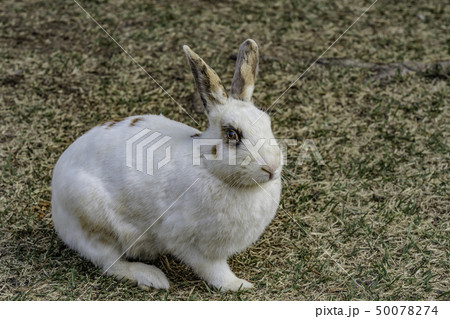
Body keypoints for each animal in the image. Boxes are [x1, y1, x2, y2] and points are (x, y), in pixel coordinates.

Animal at [52, 38, 282, 292]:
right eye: (232, 134)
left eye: (268, 123)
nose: (272, 167)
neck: (208, 166)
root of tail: (55, 204)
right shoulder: (189, 242)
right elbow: (213, 270)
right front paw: (239, 285)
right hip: (93, 220)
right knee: (109, 262)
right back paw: (152, 277)